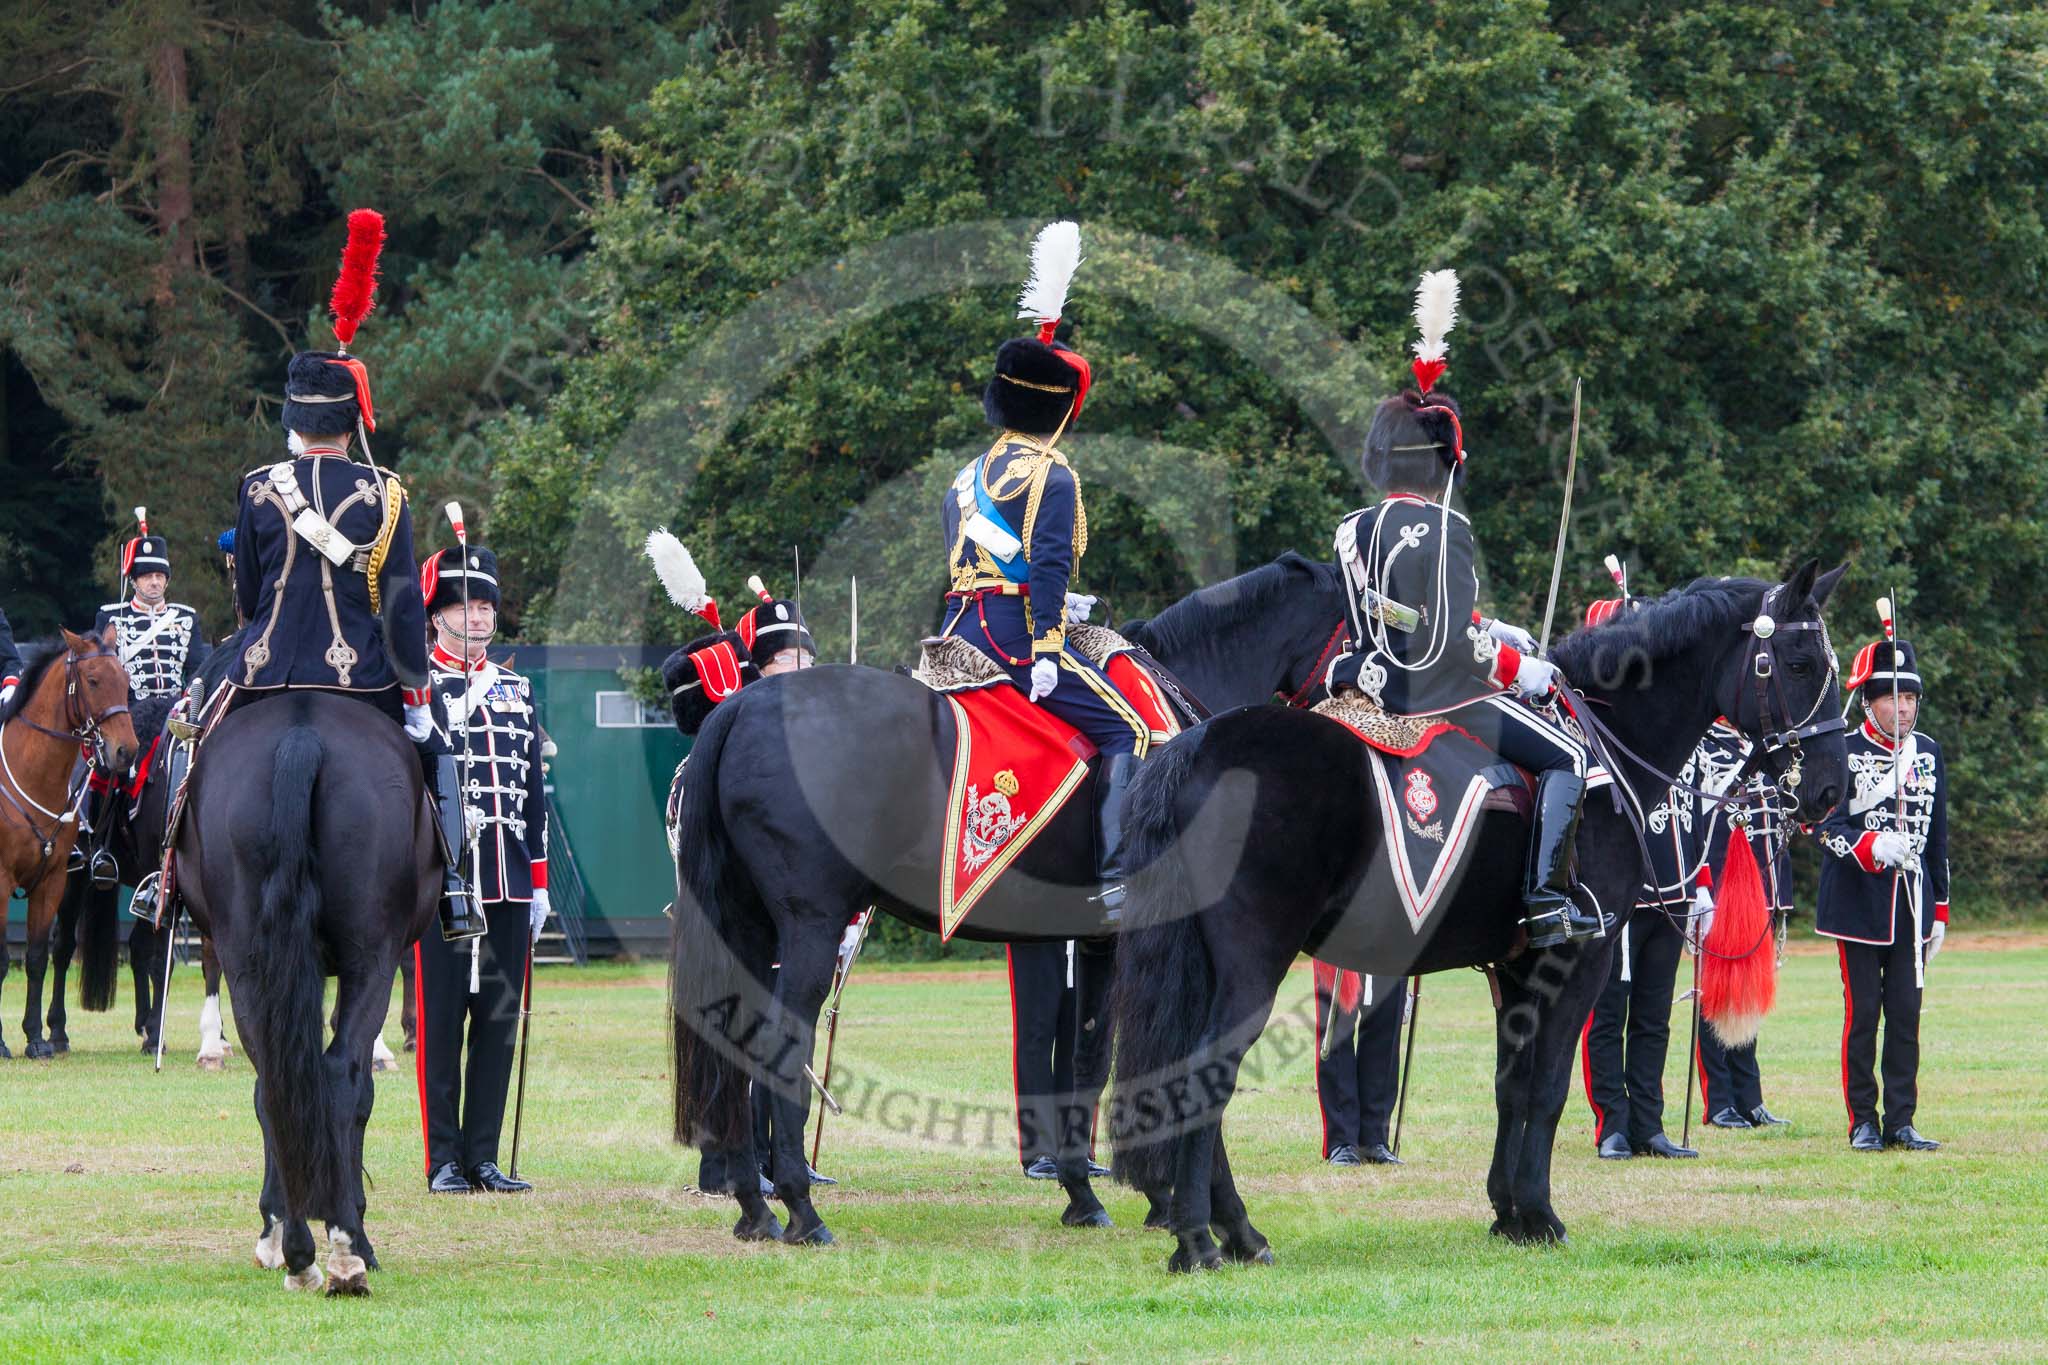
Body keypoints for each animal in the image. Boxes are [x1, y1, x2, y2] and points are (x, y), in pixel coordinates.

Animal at [1, 634, 139, 1064]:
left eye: (125, 680)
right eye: (93, 680)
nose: (126, 751)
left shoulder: (53, 880)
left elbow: (36, 957)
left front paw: (35, 1038)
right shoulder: (0, 880)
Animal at [173, 695, 440, 1293]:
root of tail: (302, 733)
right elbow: (356, 1092)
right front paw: (357, 1231)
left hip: (251, 962)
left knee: (276, 1082)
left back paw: (293, 1247)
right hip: (369, 960)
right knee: (340, 1079)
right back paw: (344, 1251)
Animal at [667, 552, 1343, 1252]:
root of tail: (743, 708)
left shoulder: (1099, 941)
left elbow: (1089, 1059)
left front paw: (1089, 1194)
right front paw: (1205, 1212)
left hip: (750, 927)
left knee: (735, 1039)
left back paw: (755, 1207)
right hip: (811, 925)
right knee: (780, 1042)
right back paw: (801, 1207)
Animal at [1114, 564, 1851, 1268]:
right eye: (1800, 663)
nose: (1830, 788)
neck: (1611, 746)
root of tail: (1197, 745)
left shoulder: (1514, 967)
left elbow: (1511, 1085)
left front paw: (1507, 1212)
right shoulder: (1581, 958)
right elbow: (1547, 1086)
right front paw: (1542, 1215)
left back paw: (1231, 1232)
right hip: (1255, 965)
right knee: (1206, 1078)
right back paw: (1204, 1240)